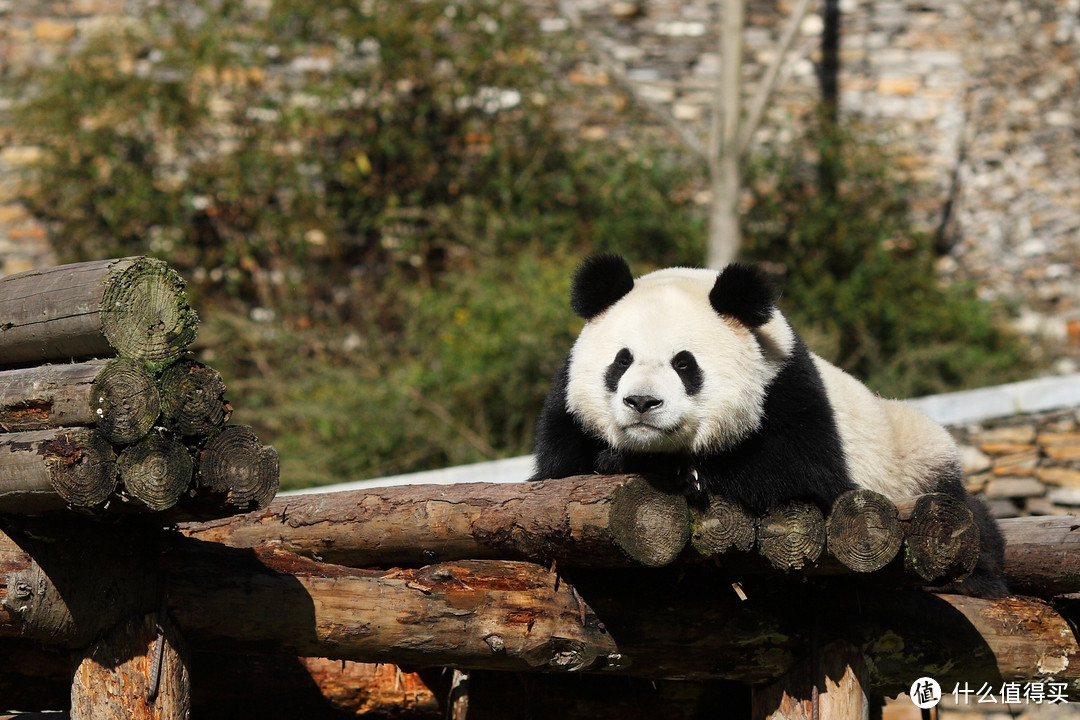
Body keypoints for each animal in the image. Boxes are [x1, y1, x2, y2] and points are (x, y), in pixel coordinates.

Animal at [535, 253, 1006, 595]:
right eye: (622, 360)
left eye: (684, 364)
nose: (642, 402)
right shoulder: (565, 407)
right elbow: (556, 472)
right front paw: (614, 458)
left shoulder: (785, 387)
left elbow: (801, 478)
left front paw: (669, 470)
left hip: (916, 457)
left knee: (972, 520)